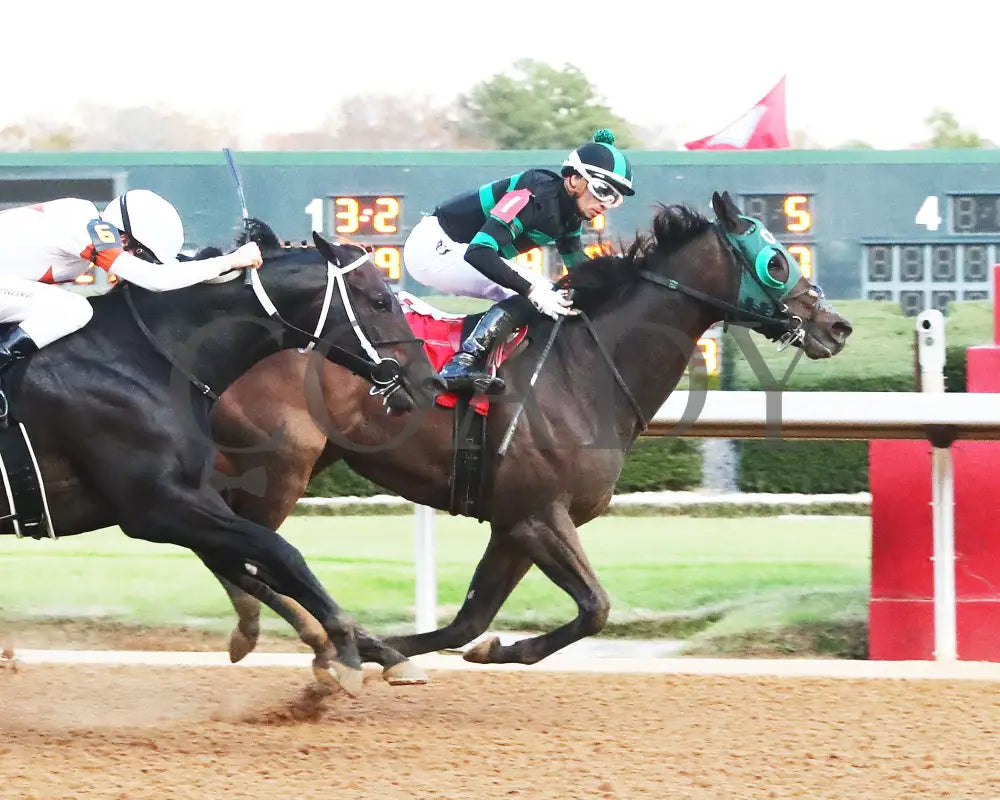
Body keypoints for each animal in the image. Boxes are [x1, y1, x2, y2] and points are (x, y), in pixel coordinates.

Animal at [3, 225, 442, 692]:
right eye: (380, 300)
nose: (430, 382)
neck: (143, 357)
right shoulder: (158, 507)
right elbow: (280, 554)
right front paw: (344, 649)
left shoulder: (193, 497)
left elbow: (253, 563)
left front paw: (377, 652)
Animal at [211, 195, 852, 676]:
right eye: (776, 261)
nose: (837, 326)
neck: (587, 368)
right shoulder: (538, 514)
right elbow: (596, 607)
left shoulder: (514, 523)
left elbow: (470, 621)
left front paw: (440, 651)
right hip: (280, 466)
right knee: (239, 551)